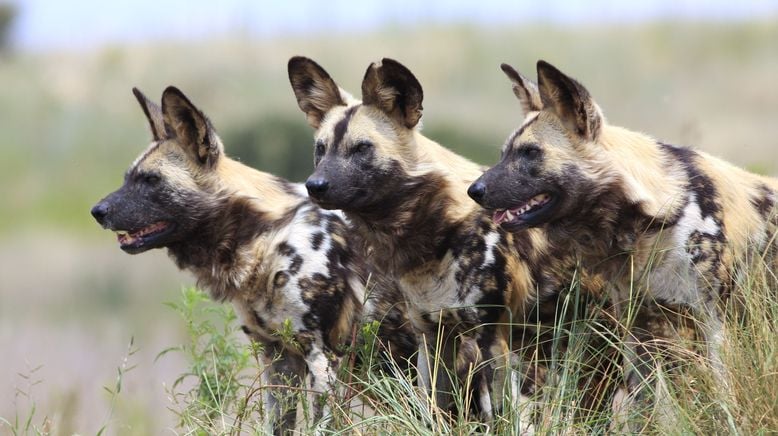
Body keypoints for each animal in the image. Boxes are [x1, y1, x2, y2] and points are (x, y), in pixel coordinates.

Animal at [90, 87, 412, 434]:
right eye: (127, 178)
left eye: (151, 180)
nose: (97, 211)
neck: (267, 238)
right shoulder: (278, 359)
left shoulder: (324, 360)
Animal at [284, 55, 620, 426]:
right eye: (320, 149)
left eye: (362, 149)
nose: (315, 185)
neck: (436, 232)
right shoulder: (433, 337)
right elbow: (433, 410)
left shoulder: (491, 338)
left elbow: (501, 416)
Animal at [466, 59, 776, 418]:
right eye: (504, 154)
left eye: (531, 152)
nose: (474, 190)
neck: (651, 225)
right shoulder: (638, 332)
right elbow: (646, 408)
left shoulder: (714, 324)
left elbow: (725, 404)